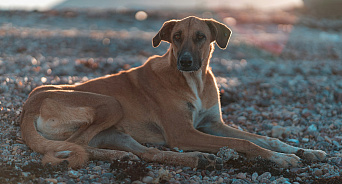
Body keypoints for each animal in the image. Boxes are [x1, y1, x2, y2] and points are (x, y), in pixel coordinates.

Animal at [20, 16, 326, 170]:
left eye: (201, 37)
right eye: (176, 37)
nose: (185, 61)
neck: (195, 81)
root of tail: (28, 106)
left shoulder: (213, 124)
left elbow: (264, 138)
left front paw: (304, 150)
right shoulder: (183, 133)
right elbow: (245, 143)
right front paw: (281, 159)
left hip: (116, 131)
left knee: (145, 153)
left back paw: (183, 158)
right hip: (110, 104)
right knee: (77, 145)